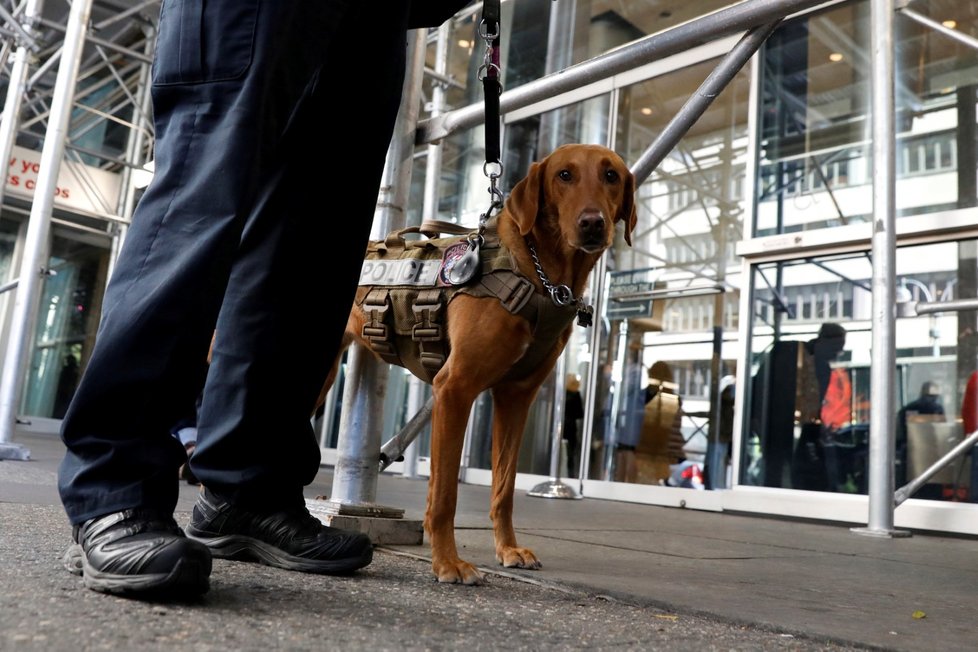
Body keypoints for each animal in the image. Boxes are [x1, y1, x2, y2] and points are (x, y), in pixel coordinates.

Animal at [324, 144, 636, 584]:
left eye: (611, 176)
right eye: (564, 175)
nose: (593, 223)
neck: (540, 272)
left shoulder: (515, 399)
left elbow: (503, 487)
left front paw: (508, 550)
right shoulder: (455, 389)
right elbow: (445, 494)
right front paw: (447, 561)